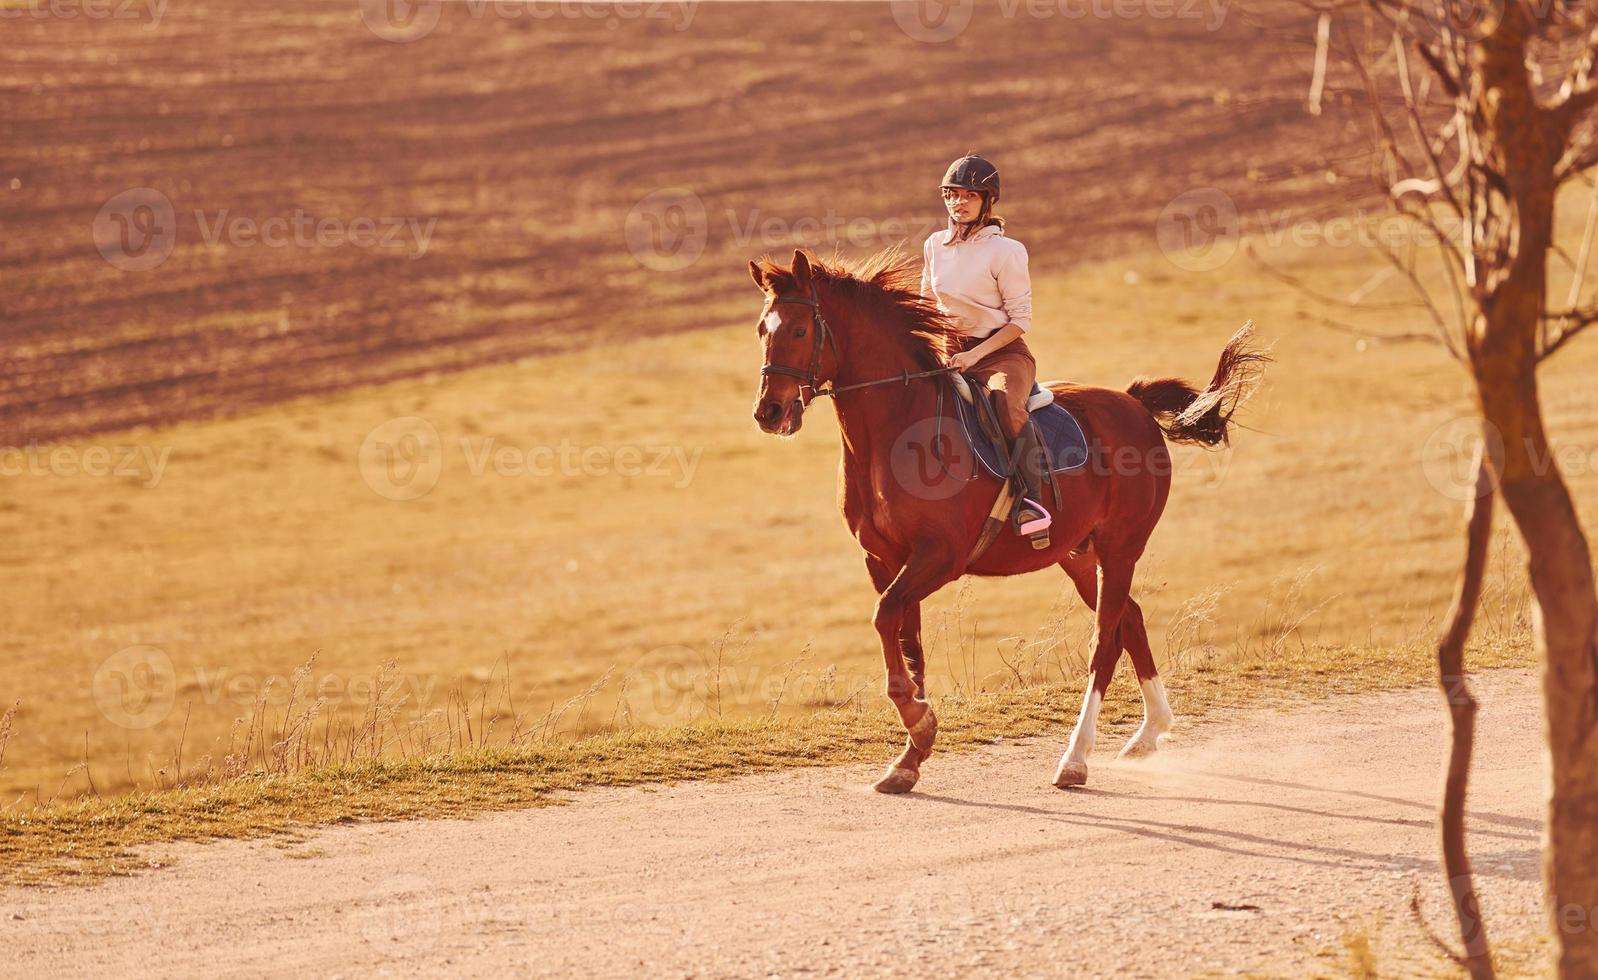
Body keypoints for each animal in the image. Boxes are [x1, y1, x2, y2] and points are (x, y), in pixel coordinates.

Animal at [747, 247, 1259, 789]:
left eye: (799, 330)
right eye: (762, 329)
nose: (769, 412)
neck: (895, 429)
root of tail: (1131, 402)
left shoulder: (939, 556)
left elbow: (886, 618)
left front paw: (919, 722)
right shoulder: (883, 560)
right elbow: (908, 644)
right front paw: (911, 755)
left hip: (1120, 549)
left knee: (1105, 641)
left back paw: (1075, 759)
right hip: (1079, 554)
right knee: (1132, 620)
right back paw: (1149, 733)